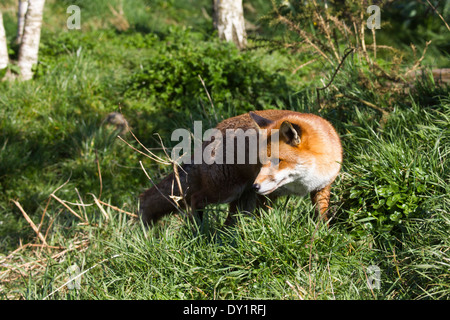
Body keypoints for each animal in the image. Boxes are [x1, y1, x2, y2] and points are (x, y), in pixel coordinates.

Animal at [139, 110, 342, 225]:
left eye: (277, 161)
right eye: (261, 161)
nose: (255, 186)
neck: (302, 183)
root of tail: (212, 134)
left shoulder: (322, 187)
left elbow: (322, 217)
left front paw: (322, 233)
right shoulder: (266, 196)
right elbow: (265, 219)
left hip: (242, 201)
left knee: (228, 221)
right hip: (226, 191)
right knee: (195, 199)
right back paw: (201, 230)